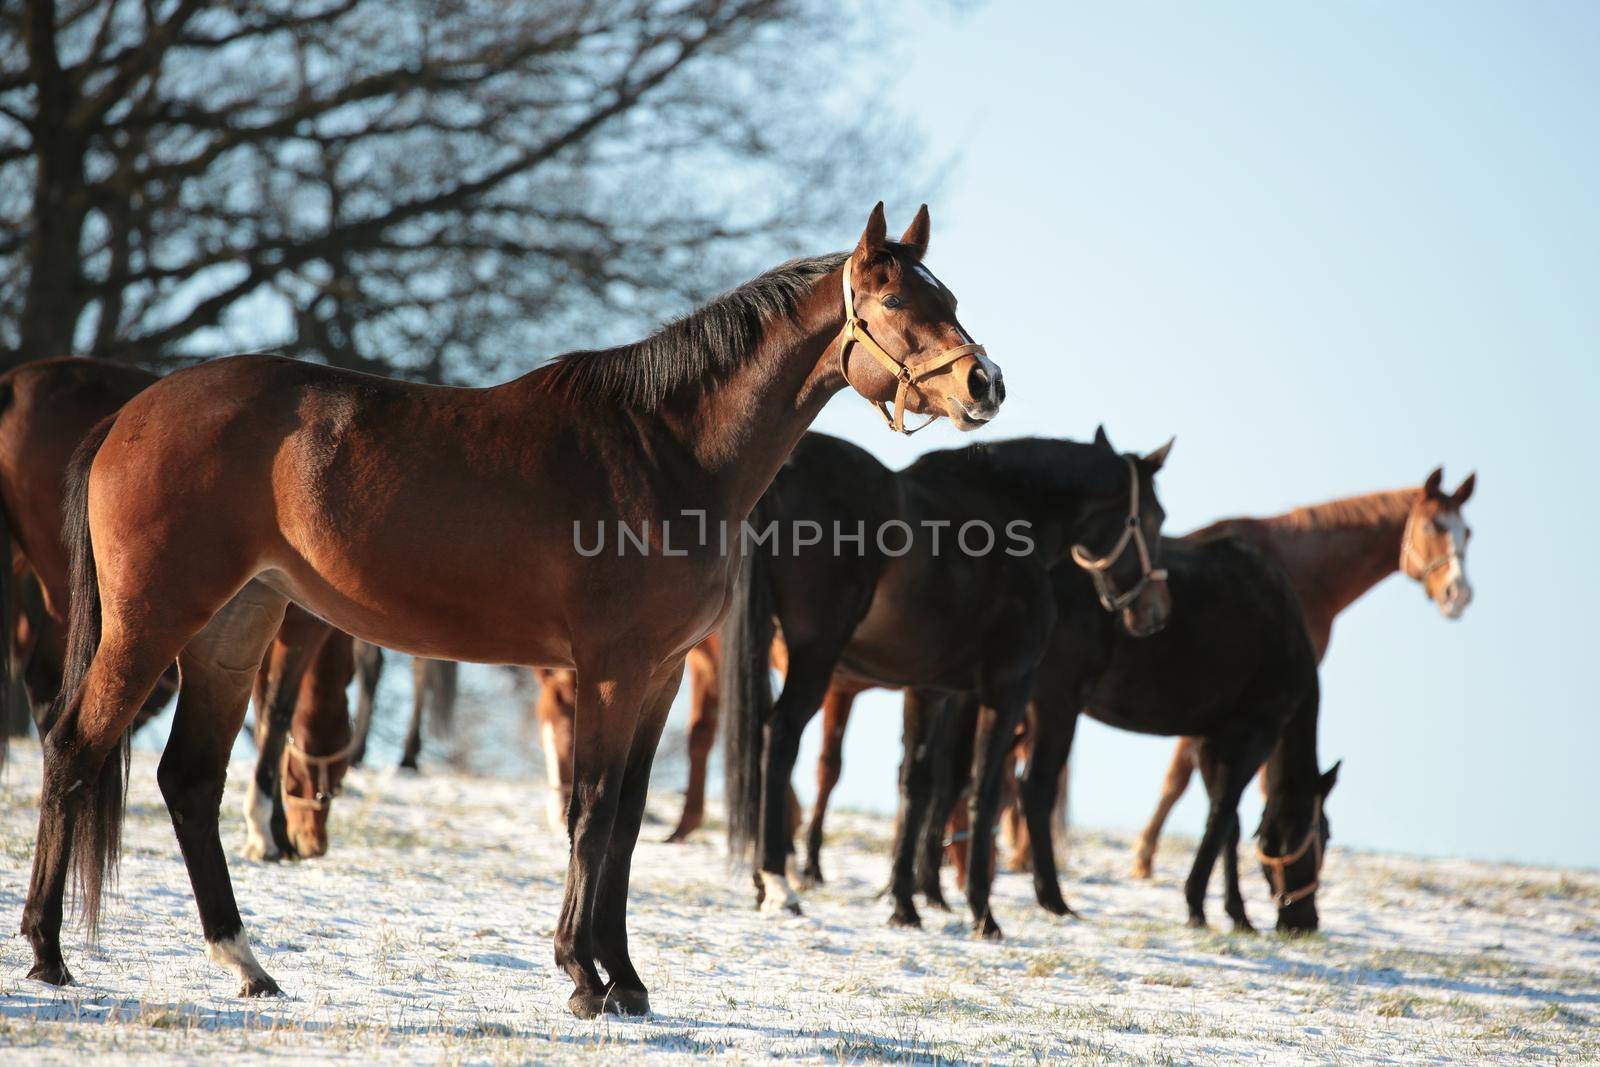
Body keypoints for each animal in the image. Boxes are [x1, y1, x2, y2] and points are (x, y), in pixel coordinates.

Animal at [21, 202, 998, 1017]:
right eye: (899, 300)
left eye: (948, 295)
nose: (985, 383)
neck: (670, 452)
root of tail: (129, 415)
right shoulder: (610, 670)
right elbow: (591, 808)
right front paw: (582, 975)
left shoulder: (660, 676)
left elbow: (628, 818)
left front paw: (627, 979)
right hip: (152, 620)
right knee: (75, 746)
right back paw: (46, 952)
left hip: (236, 629)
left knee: (188, 778)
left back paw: (245, 963)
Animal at [720, 425, 1171, 934]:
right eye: (1154, 517)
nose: (1155, 612)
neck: (1013, 514)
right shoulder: (1008, 689)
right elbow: (984, 791)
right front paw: (983, 913)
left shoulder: (928, 690)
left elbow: (915, 785)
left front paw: (904, 905)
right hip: (815, 656)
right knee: (780, 738)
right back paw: (778, 881)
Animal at [1126, 470, 1472, 883]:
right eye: (1432, 525)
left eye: (1468, 532)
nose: (1459, 594)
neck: (1297, 570)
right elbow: (1182, 775)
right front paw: (1144, 856)